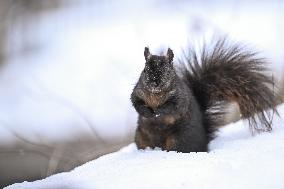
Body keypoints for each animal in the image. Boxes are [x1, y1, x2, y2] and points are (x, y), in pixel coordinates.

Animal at [130, 39, 278, 153]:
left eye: (167, 70)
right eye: (145, 70)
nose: (154, 82)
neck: (156, 94)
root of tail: (204, 144)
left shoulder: (180, 98)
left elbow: (172, 107)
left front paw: (158, 111)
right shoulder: (138, 92)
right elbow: (136, 102)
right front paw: (146, 112)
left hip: (179, 139)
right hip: (141, 137)